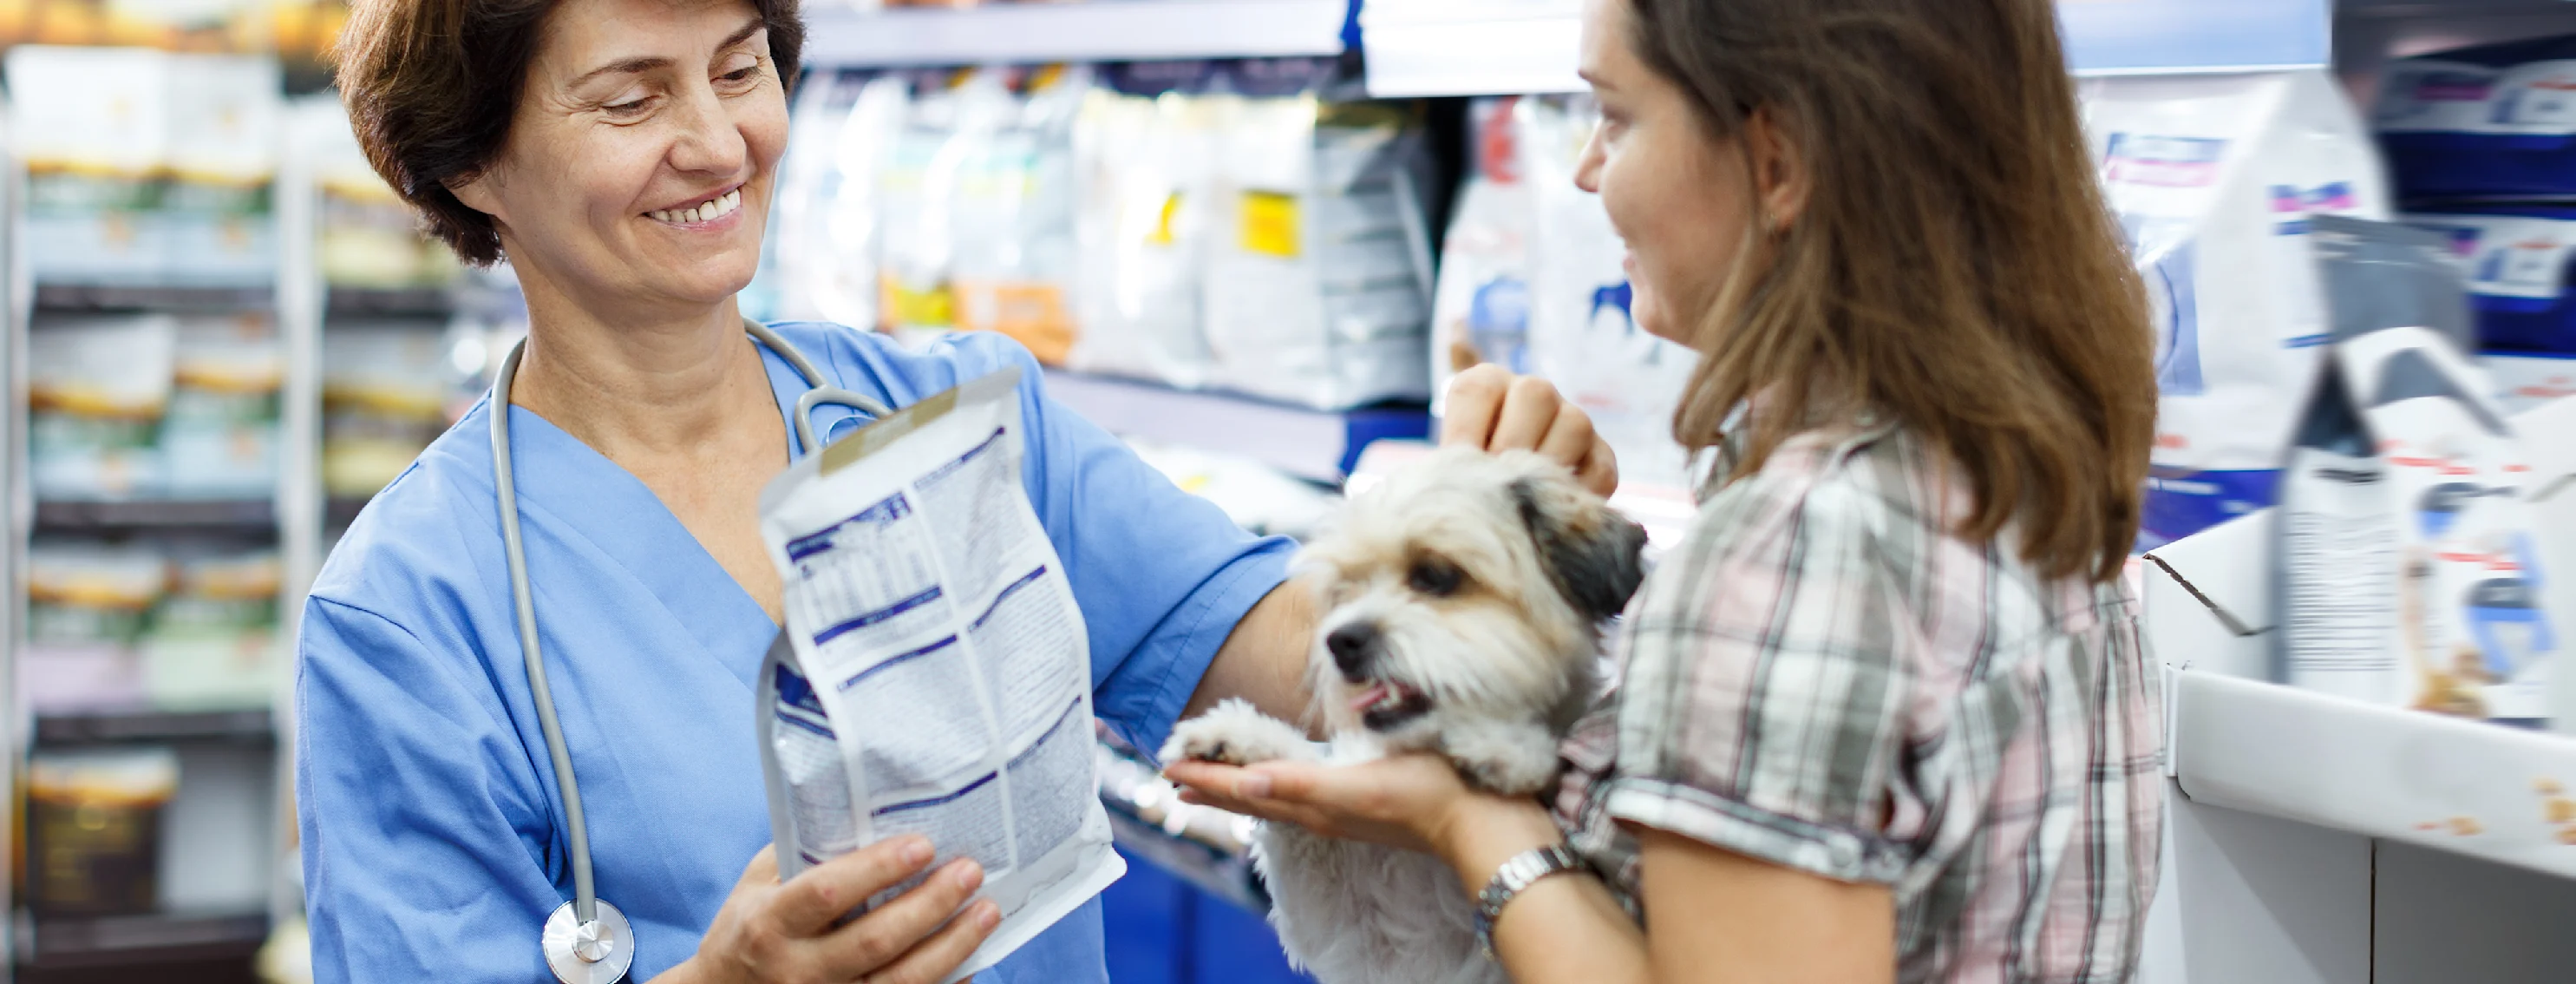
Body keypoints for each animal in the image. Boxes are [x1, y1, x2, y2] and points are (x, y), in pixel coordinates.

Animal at [1169, 450, 1648, 984]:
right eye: (1345, 592)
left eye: (1435, 576)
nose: (1340, 641)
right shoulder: (1344, 924)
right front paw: (1239, 737)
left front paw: (1508, 749)